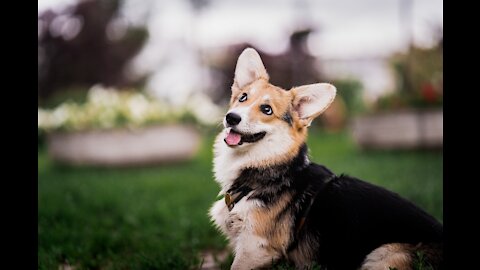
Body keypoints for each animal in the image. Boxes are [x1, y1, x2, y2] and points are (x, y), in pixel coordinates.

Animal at [208, 48, 444, 270]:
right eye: (243, 97)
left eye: (267, 109)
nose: (231, 117)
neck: (268, 169)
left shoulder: (256, 247)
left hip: (383, 255)